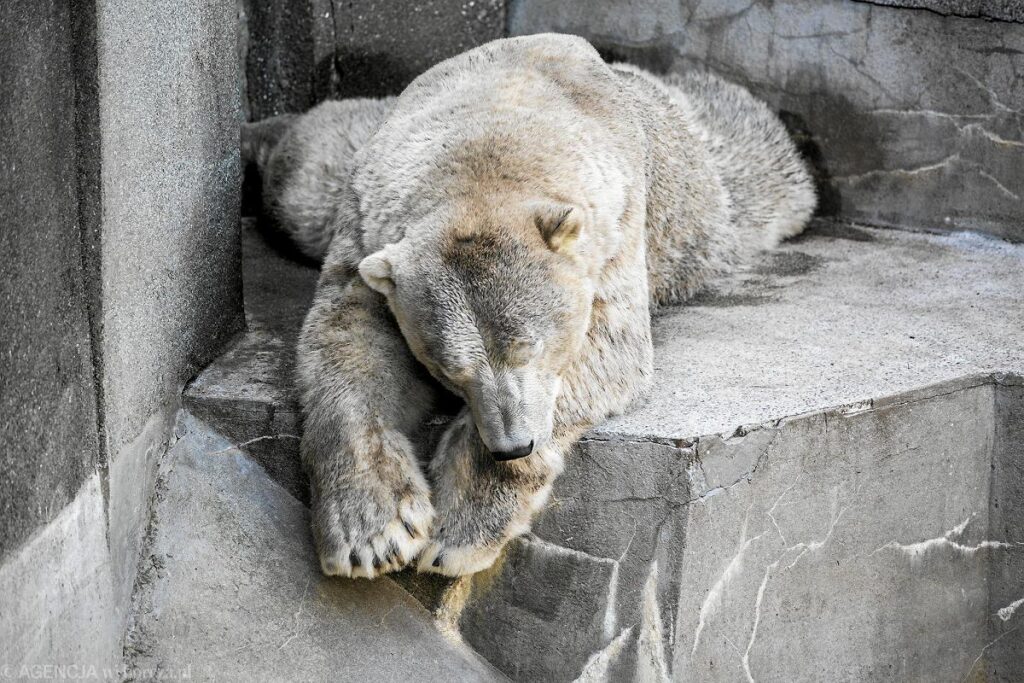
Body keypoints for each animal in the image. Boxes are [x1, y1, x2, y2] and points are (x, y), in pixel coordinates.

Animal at [247, 31, 815, 577]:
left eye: (530, 348)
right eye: (448, 370)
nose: (513, 444)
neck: (495, 120)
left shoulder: (616, 225)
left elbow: (607, 351)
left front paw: (458, 532)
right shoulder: (368, 222)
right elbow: (347, 334)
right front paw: (372, 532)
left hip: (714, 189)